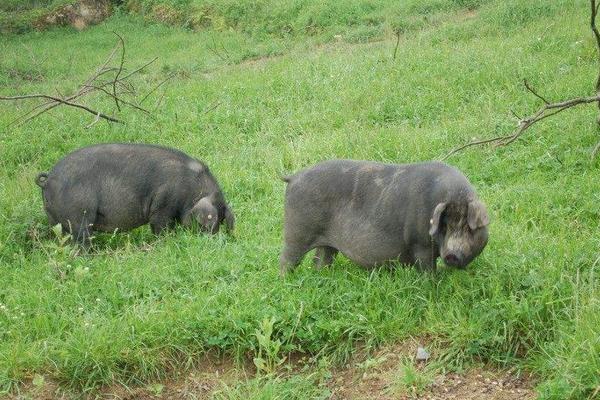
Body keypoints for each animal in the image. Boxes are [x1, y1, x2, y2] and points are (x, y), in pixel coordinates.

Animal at [34, 144, 233, 244]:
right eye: (208, 224)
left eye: (221, 222)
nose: (212, 241)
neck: (191, 191)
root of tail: (49, 179)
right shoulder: (162, 206)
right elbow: (160, 227)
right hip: (79, 215)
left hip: (56, 221)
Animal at [278, 159, 490, 276]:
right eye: (444, 226)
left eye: (469, 227)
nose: (451, 255)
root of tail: (294, 177)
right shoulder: (419, 244)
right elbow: (426, 268)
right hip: (296, 232)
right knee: (286, 260)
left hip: (326, 243)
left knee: (320, 259)